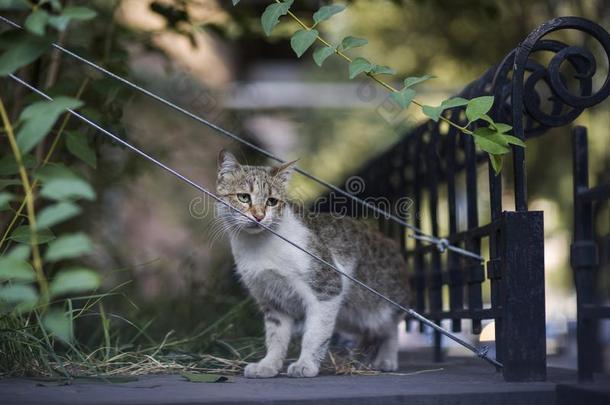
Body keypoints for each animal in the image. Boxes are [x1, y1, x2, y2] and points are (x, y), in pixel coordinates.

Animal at [214, 150, 408, 378]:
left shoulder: (327, 290)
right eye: (244, 197)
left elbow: (314, 334)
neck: (258, 246)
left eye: (272, 201)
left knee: (390, 329)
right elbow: (276, 337)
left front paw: (306, 364)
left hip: (379, 308)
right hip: (353, 316)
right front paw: (268, 365)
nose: (259, 216)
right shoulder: (273, 301)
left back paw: (386, 359)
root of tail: (392, 244)